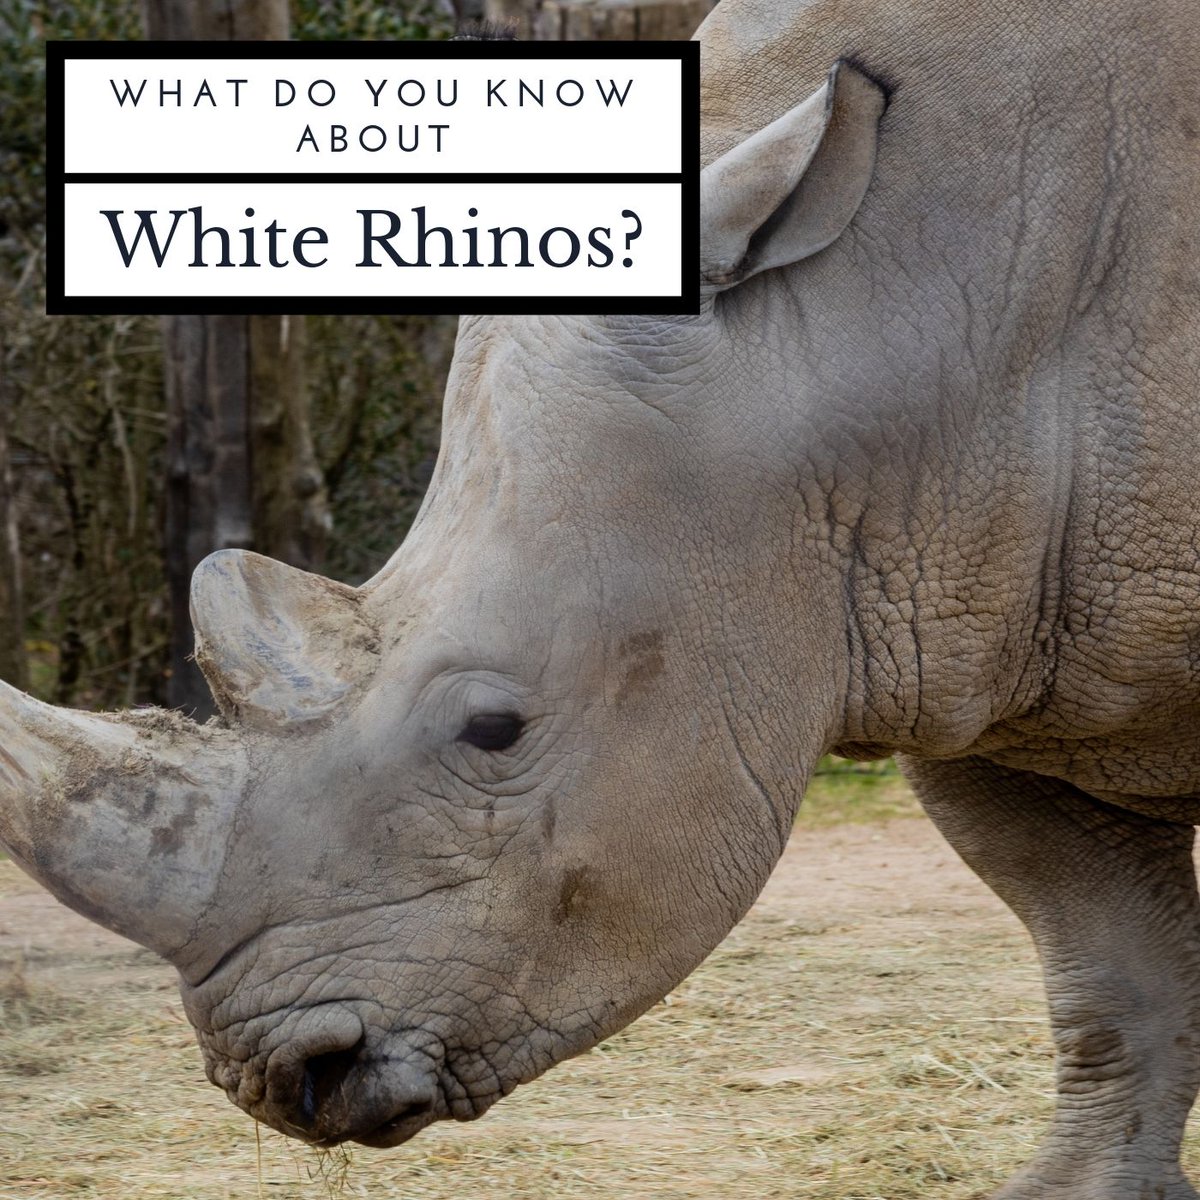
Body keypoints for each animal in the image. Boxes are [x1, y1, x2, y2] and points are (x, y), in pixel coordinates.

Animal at [3, 0, 1199, 1194]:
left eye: (495, 729)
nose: (290, 1076)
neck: (855, 329)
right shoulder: (968, 645)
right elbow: (1107, 958)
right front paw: (1084, 1191)